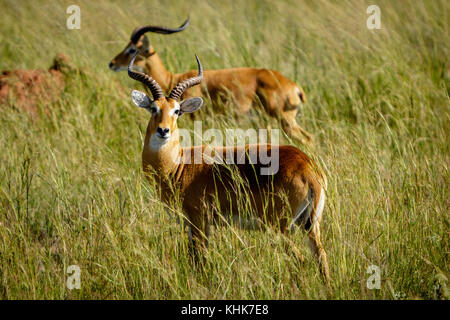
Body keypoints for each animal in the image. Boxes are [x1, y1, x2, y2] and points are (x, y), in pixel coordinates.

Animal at [109, 18, 312, 146]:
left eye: (132, 49)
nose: (112, 63)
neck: (172, 79)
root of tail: (294, 87)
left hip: (285, 121)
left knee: (307, 139)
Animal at [126, 52, 330, 288]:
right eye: (153, 108)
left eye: (177, 111)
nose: (163, 130)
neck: (178, 166)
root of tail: (308, 168)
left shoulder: (199, 222)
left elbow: (199, 260)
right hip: (311, 227)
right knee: (321, 257)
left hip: (281, 228)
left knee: (300, 260)